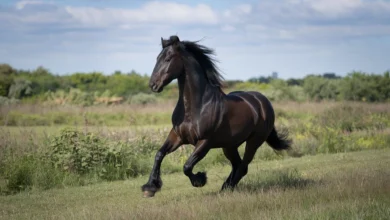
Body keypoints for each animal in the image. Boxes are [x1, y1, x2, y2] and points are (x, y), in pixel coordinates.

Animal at [142, 36, 290, 198]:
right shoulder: (177, 136)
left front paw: (200, 180)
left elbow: (187, 166)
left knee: (243, 166)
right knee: (237, 165)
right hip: (230, 145)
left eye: (168, 58)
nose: (153, 85)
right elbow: (159, 154)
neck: (196, 107)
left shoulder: (205, 142)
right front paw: (149, 188)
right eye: (157, 58)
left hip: (253, 142)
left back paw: (227, 188)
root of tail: (263, 101)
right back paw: (225, 187)